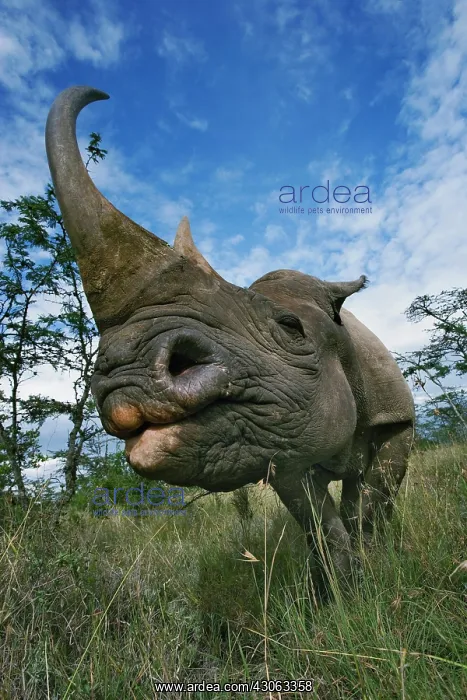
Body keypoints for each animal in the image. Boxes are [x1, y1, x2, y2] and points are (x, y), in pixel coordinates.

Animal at [45, 86, 415, 590]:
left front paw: (370, 565)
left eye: (291, 328)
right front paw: (338, 584)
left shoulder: (395, 418)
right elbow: (318, 520)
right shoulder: (285, 446)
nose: (126, 377)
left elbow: (371, 502)